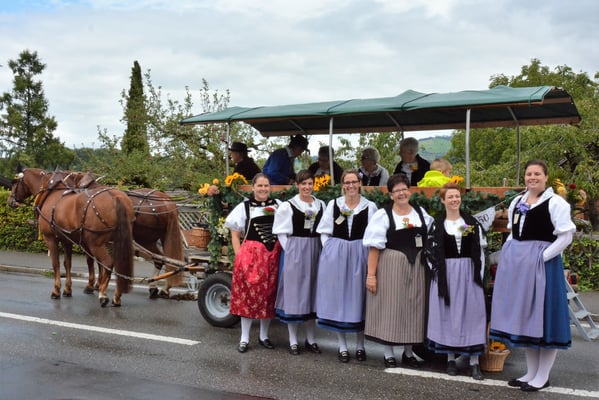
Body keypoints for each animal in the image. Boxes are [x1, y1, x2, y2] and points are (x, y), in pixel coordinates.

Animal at [8, 167, 135, 307]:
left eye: (15, 183)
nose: (10, 201)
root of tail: (115, 197)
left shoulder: (50, 238)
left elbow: (56, 264)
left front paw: (56, 291)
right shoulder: (66, 240)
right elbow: (67, 263)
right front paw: (67, 289)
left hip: (95, 243)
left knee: (107, 263)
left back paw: (103, 295)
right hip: (116, 241)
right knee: (118, 263)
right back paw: (116, 297)